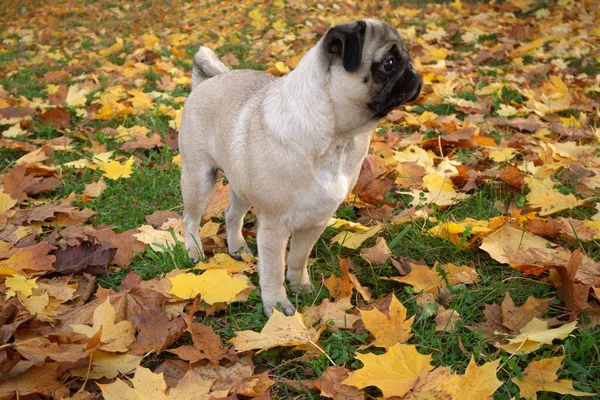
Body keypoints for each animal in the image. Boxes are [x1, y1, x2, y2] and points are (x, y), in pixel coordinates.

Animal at [178, 20, 422, 318]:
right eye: (388, 63)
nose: (412, 68)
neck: (337, 141)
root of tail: (207, 81)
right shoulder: (274, 228)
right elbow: (272, 271)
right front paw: (277, 306)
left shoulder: (316, 220)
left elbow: (298, 257)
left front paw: (299, 285)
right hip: (198, 178)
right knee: (191, 218)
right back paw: (194, 251)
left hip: (241, 185)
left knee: (232, 215)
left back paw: (238, 248)